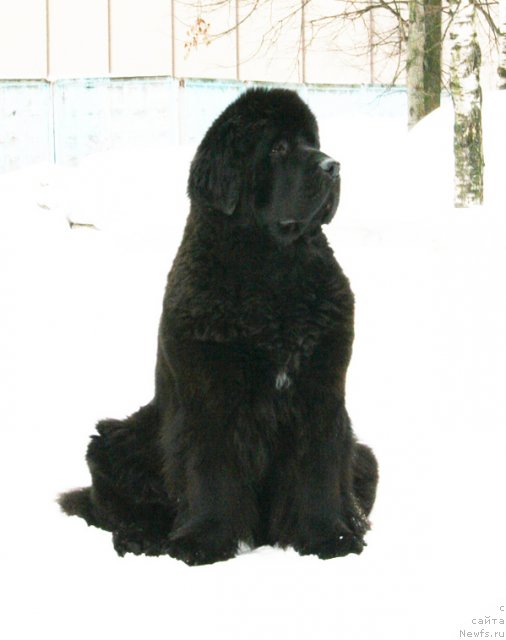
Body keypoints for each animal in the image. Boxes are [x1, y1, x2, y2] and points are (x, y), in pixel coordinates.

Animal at [58, 86, 376, 564]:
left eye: (311, 141)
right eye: (278, 148)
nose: (332, 165)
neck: (274, 270)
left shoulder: (320, 391)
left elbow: (317, 470)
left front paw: (329, 538)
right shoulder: (208, 395)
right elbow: (210, 472)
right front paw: (202, 541)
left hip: (366, 456)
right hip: (113, 443)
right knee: (116, 506)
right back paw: (140, 538)